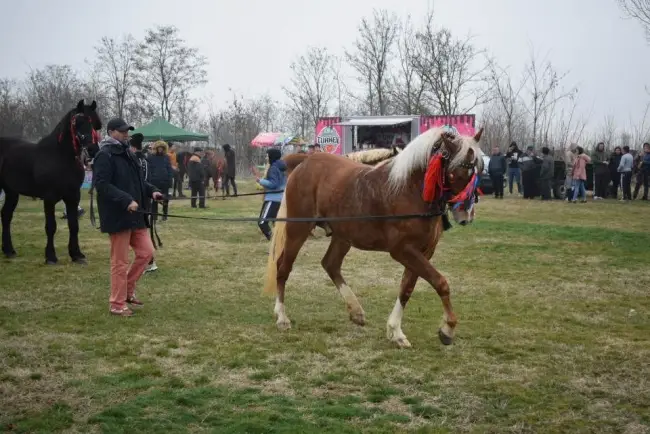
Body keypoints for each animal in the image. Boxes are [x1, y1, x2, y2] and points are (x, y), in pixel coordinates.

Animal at [0, 99, 101, 264]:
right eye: (78, 123)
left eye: (96, 125)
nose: (92, 150)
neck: (60, 157)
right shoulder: (49, 198)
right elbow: (51, 226)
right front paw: (51, 257)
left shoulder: (73, 196)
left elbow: (74, 225)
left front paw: (76, 254)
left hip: (11, 192)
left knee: (6, 215)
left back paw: (9, 250)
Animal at [262, 124, 480, 346]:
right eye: (456, 172)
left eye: (475, 170)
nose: (466, 214)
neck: (410, 190)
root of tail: (305, 163)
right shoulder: (403, 251)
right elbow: (440, 282)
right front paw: (448, 329)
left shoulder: (424, 252)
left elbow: (406, 289)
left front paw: (395, 331)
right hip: (297, 230)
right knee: (283, 267)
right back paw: (282, 318)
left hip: (342, 236)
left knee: (330, 264)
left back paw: (356, 311)